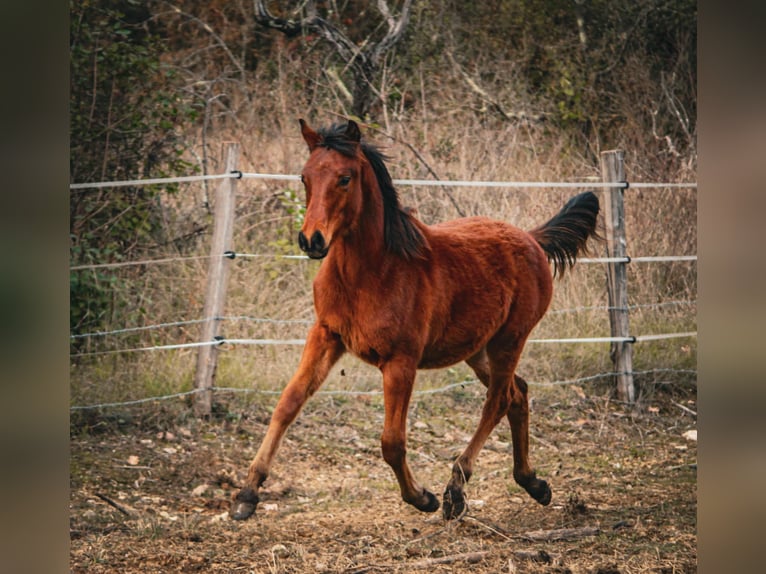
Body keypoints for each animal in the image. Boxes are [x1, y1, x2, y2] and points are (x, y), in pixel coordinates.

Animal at [230, 119, 600, 521]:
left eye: (345, 178)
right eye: (304, 177)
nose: (311, 240)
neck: (370, 273)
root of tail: (531, 239)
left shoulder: (400, 361)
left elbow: (392, 442)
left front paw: (422, 497)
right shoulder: (326, 335)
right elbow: (288, 403)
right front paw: (247, 493)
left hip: (510, 340)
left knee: (498, 400)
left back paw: (456, 489)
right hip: (477, 350)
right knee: (518, 393)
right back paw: (533, 483)